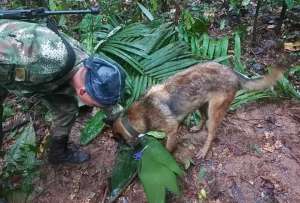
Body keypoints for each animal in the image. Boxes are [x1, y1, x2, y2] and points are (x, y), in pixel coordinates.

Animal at [112, 61, 284, 159]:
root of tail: (233, 73)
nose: (119, 150)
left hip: (214, 111)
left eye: (120, 142)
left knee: (211, 132)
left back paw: (204, 151)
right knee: (203, 118)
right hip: (201, 103)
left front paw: (166, 156)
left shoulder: (172, 130)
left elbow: (168, 148)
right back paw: (196, 128)